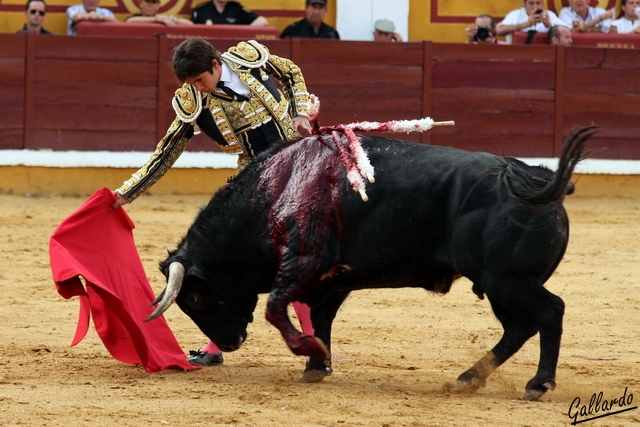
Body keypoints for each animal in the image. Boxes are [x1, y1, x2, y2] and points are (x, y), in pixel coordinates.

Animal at [145, 125, 596, 400]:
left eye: (196, 300)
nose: (229, 344)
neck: (274, 191)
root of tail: (537, 182)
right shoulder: (331, 280)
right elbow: (318, 316)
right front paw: (316, 363)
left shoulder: (302, 263)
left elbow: (276, 308)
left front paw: (309, 351)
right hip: (497, 284)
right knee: (519, 327)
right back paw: (470, 378)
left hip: (508, 279)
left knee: (550, 312)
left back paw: (538, 384)